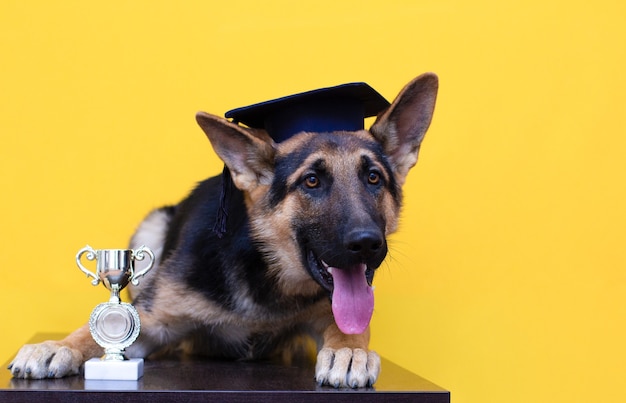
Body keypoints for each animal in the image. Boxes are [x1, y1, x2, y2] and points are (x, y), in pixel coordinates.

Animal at [9, 72, 438, 388]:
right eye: (312, 181)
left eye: (373, 178)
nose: (367, 244)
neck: (267, 276)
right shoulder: (154, 322)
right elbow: (95, 331)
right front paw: (57, 346)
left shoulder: (326, 315)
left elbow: (348, 328)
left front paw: (352, 350)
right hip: (153, 225)